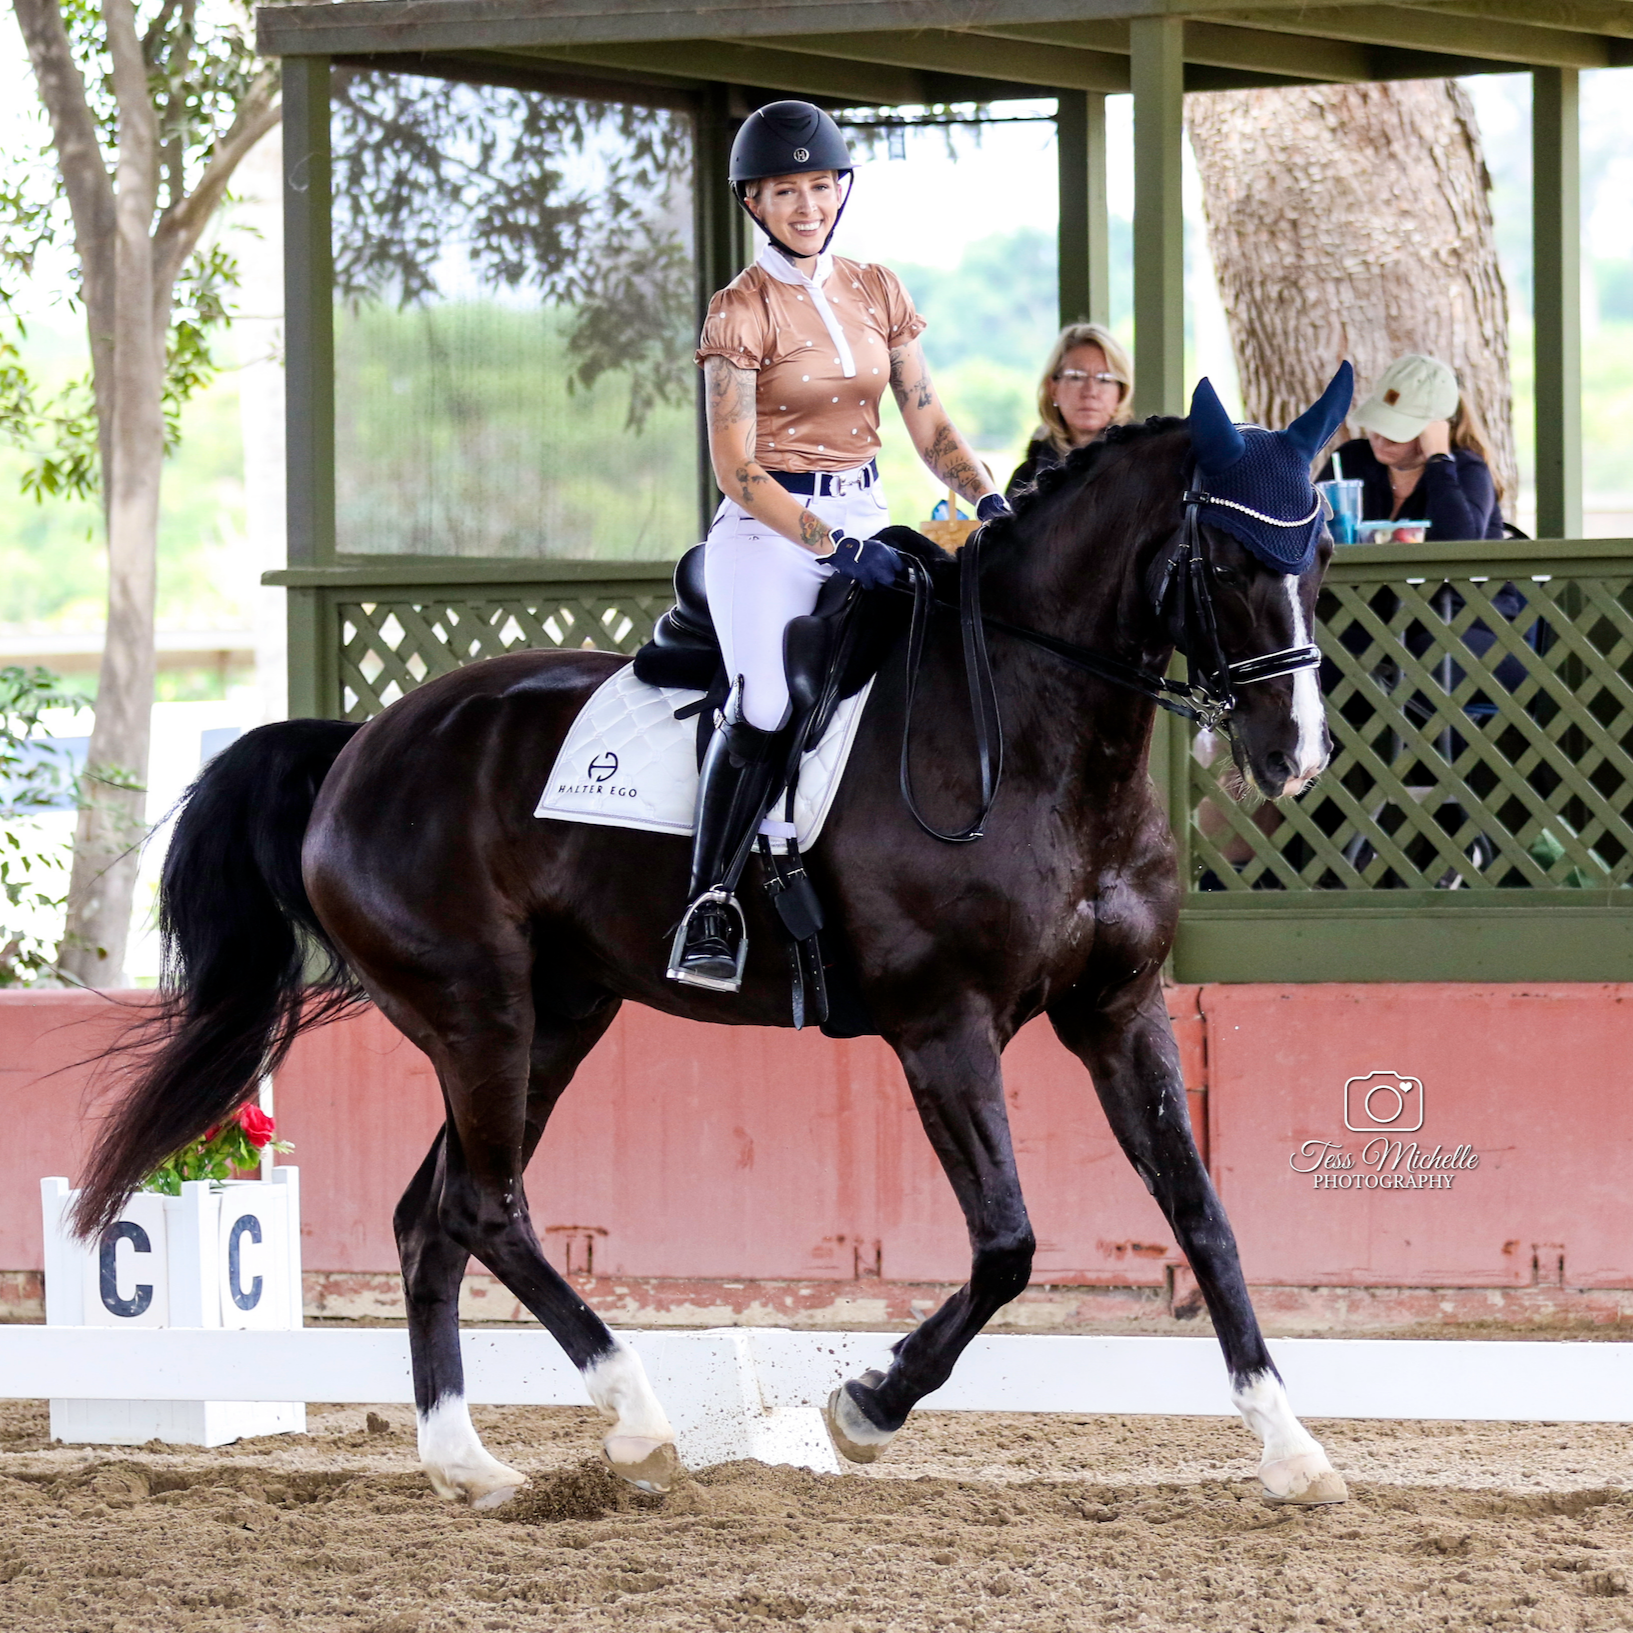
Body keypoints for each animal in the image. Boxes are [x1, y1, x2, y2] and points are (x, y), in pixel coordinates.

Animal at [76, 378, 1345, 1502]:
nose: (1296, 756)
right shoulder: (943, 1027)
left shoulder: (1118, 1012)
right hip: (482, 1012)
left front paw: (1290, 1449)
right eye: (1230, 562)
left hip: (557, 1017)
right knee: (486, 1208)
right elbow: (1008, 1245)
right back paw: (637, 1424)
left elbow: (1203, 1219)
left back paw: (466, 1464)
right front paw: (865, 1407)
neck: (1036, 736)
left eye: (1319, 558)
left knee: (432, 1215)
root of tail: (359, 745)